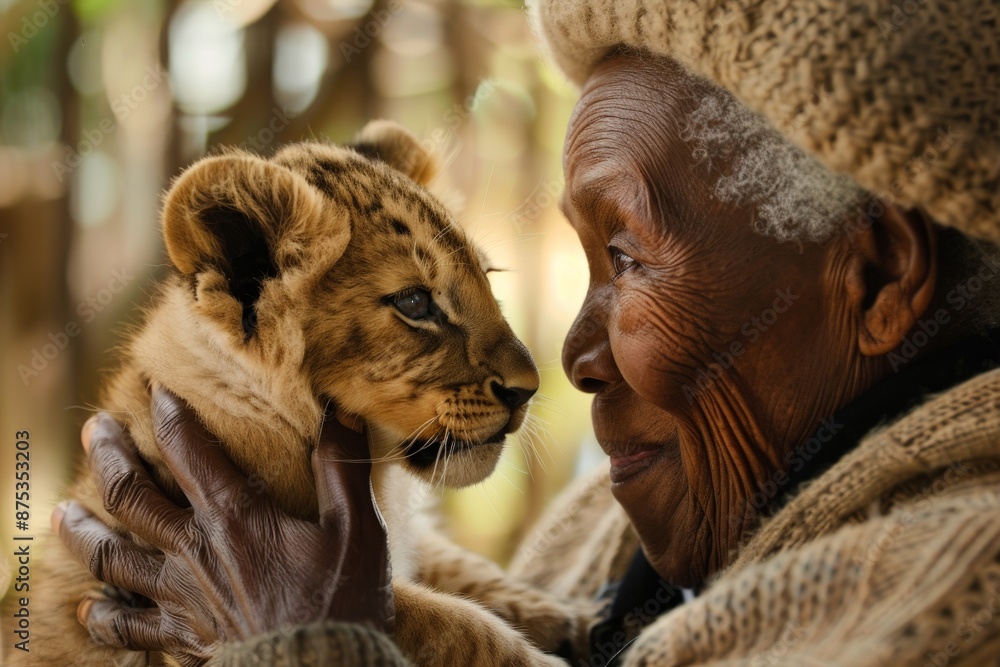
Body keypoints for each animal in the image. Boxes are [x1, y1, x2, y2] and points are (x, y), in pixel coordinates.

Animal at [12, 121, 593, 666]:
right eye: (414, 302)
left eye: (488, 280)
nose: (529, 390)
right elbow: (452, 624)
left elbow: (458, 563)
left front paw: (564, 614)